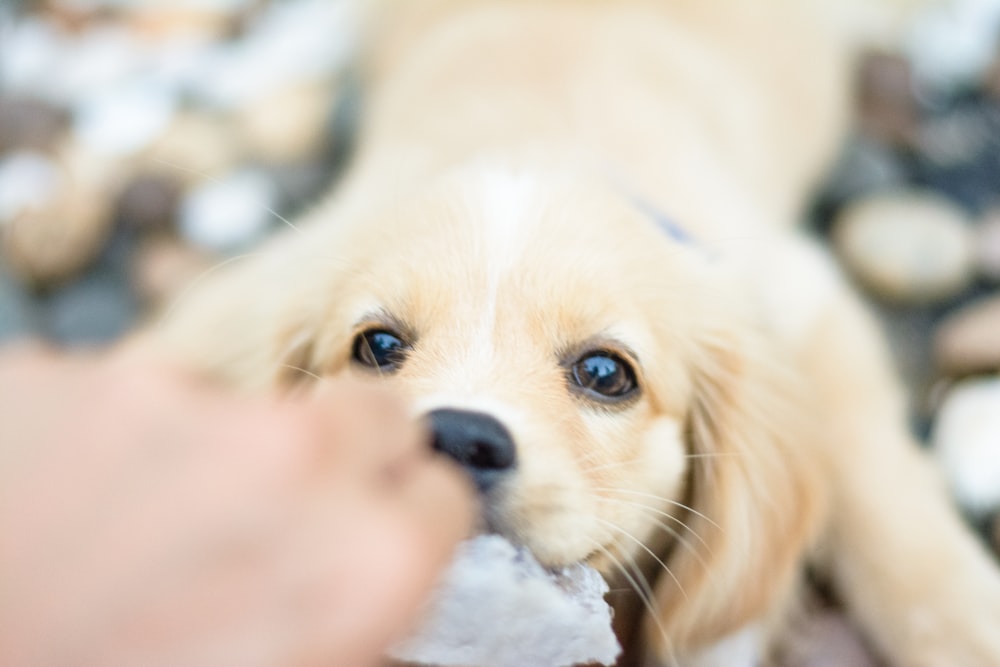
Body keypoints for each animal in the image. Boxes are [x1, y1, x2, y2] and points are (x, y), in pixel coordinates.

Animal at [148, 1, 1000, 667]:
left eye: (605, 372)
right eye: (378, 347)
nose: (457, 437)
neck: (548, 141)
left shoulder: (804, 302)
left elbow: (890, 510)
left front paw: (969, 628)